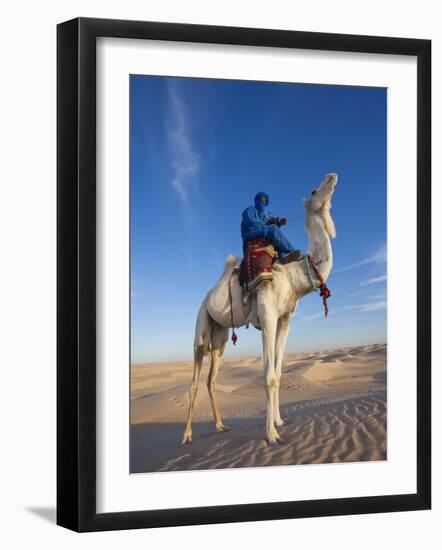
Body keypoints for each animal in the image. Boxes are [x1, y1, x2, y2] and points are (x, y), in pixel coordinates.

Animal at [183, 175, 338, 446]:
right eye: (314, 190)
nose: (332, 177)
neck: (294, 276)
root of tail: (207, 295)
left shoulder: (284, 320)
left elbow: (278, 373)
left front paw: (279, 422)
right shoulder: (267, 317)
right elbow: (269, 378)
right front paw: (272, 435)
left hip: (220, 335)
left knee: (212, 379)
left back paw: (221, 425)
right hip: (201, 323)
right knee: (195, 375)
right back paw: (187, 435)